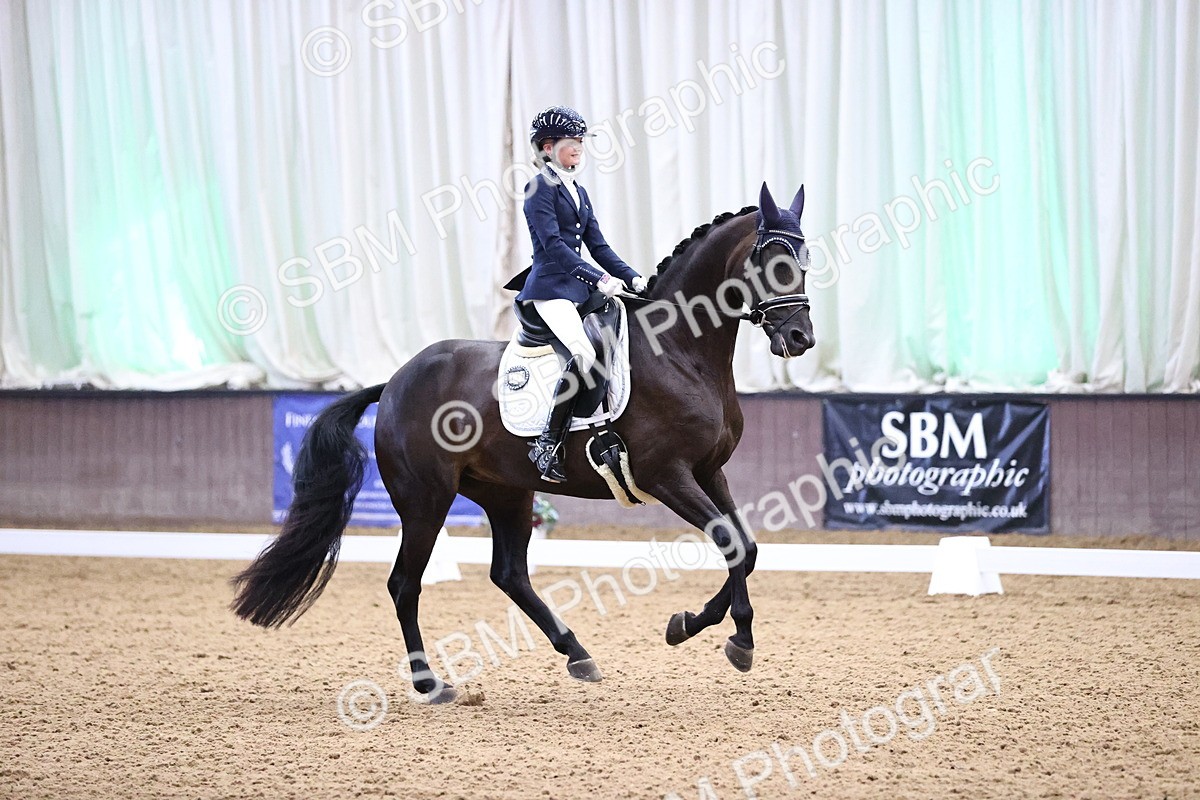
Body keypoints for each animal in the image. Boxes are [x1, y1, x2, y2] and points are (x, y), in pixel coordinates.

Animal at [231, 182, 814, 703]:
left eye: (805, 257)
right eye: (771, 260)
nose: (801, 338)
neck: (678, 349)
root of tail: (394, 382)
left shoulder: (709, 471)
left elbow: (747, 547)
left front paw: (699, 625)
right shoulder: (666, 474)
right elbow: (731, 543)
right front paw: (732, 639)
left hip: (506, 493)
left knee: (508, 573)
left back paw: (577, 654)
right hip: (425, 501)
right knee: (405, 584)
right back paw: (431, 685)